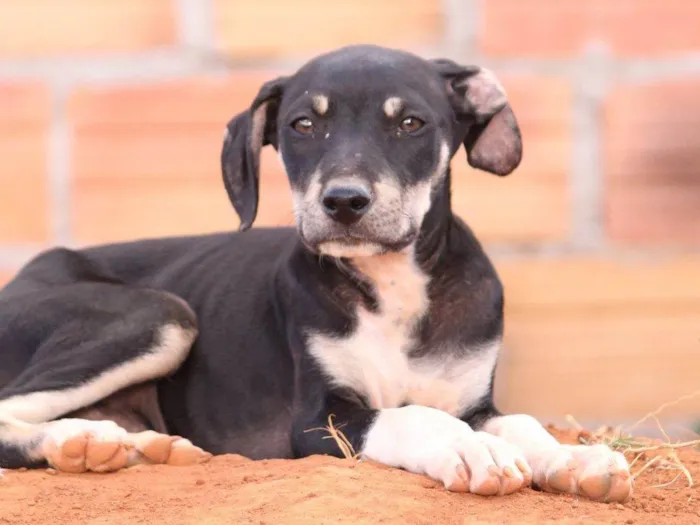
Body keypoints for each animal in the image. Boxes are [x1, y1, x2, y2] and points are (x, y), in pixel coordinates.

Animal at [0, 44, 632, 500]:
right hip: (162, 313)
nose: (344, 201)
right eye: (303, 125)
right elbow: (411, 417)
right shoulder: (317, 420)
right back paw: (81, 440)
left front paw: (575, 457)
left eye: (411, 123)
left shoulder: (474, 401)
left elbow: (518, 420)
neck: (393, 288)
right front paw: (470, 450)